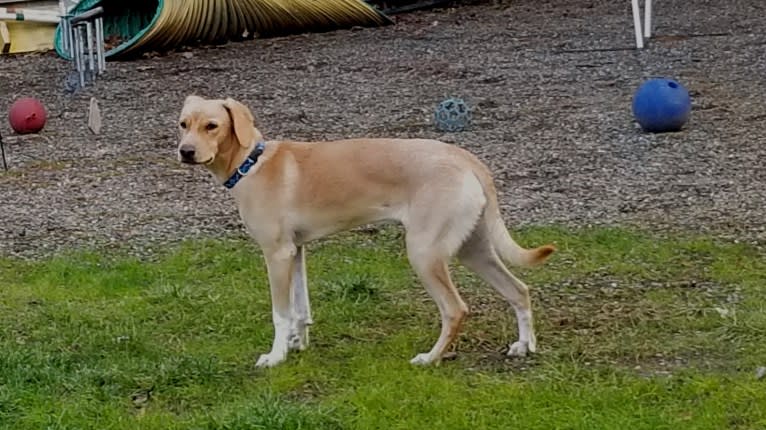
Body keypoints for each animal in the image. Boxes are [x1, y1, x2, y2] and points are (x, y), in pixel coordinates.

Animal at [177, 95, 556, 368]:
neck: (251, 163)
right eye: (183, 124)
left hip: (424, 254)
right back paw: (524, 346)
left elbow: (281, 314)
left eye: (212, 125)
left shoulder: (276, 254)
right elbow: (301, 309)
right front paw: (298, 345)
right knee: (519, 290)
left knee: (455, 310)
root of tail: (466, 159)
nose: (185, 151)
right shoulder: (295, 252)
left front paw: (276, 357)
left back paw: (430, 358)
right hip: (473, 249)